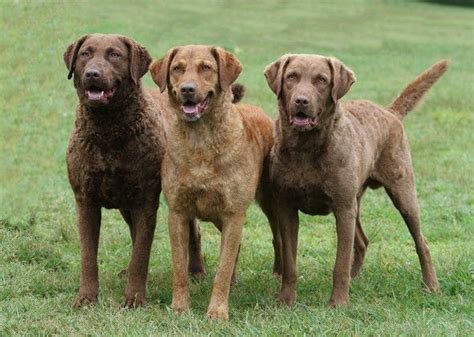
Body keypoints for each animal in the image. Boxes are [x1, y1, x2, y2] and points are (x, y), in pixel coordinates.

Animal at [62, 34, 204, 308]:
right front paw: (86, 298)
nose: (92, 74)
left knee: (193, 232)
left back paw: (196, 271)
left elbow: (141, 254)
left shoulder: (145, 201)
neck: (108, 131)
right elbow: (88, 256)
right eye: (85, 53)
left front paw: (135, 299)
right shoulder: (85, 200)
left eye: (115, 55)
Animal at [148, 46, 282, 318]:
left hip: (269, 201)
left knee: (276, 237)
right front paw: (180, 307)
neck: (201, 140)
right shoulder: (178, 212)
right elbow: (180, 267)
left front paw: (218, 312)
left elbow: (222, 268)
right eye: (177, 68)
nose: (187, 89)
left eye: (206, 67)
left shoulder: (233, 213)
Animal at [264, 55, 446, 308]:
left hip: (402, 194)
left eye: (322, 80)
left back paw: (431, 286)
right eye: (291, 77)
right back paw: (355, 279)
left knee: (422, 242)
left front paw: (338, 302)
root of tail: (389, 112)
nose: (301, 100)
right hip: (355, 202)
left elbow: (340, 262)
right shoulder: (286, 207)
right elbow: (290, 261)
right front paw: (285, 300)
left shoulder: (342, 207)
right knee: (362, 241)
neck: (306, 148)